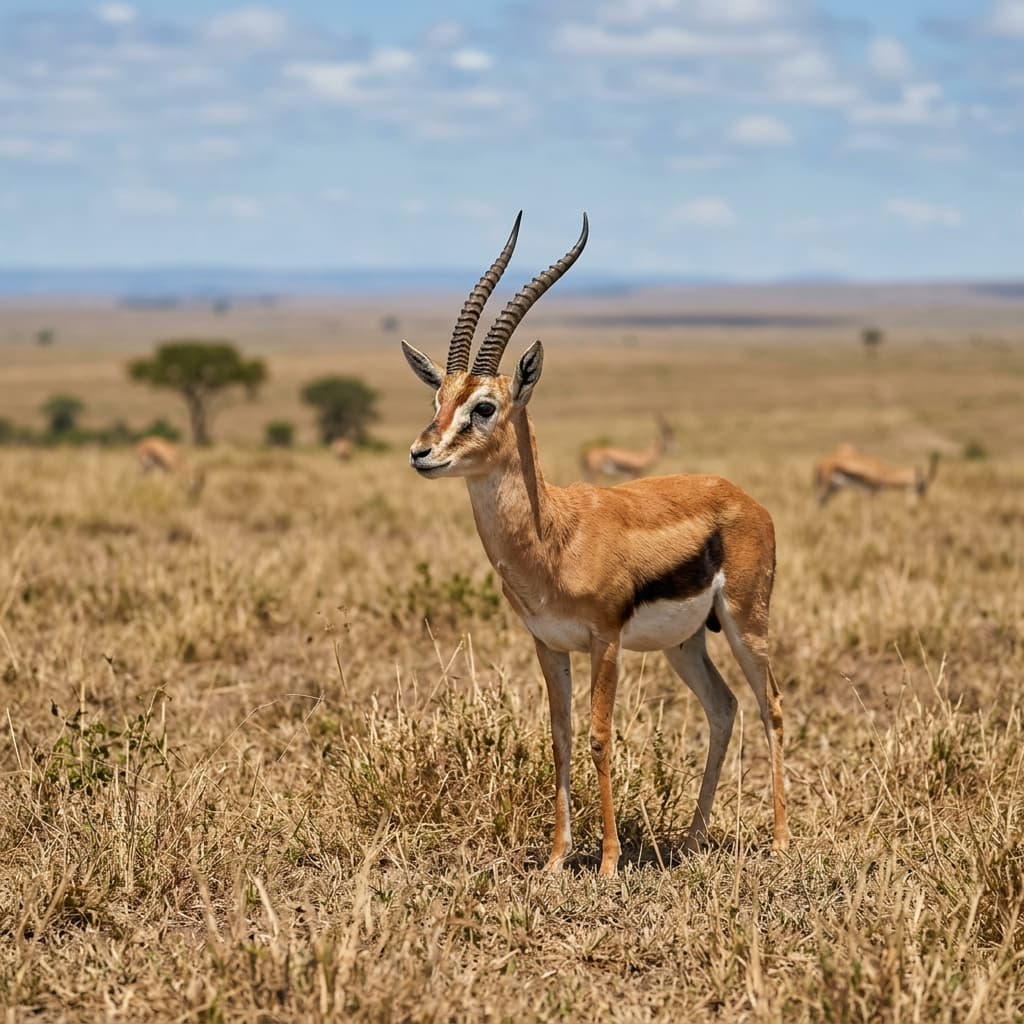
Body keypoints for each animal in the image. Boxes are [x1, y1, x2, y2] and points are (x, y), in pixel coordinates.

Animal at [401, 213, 787, 876]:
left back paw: (783, 841)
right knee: (724, 709)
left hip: (745, 622)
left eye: (485, 405)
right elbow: (559, 736)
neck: (555, 534)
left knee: (771, 706)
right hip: (685, 642)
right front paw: (558, 857)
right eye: (438, 400)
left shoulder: (605, 641)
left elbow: (601, 735)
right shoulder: (549, 643)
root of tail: (743, 497)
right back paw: (690, 841)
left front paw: (606, 862)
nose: (422, 454)